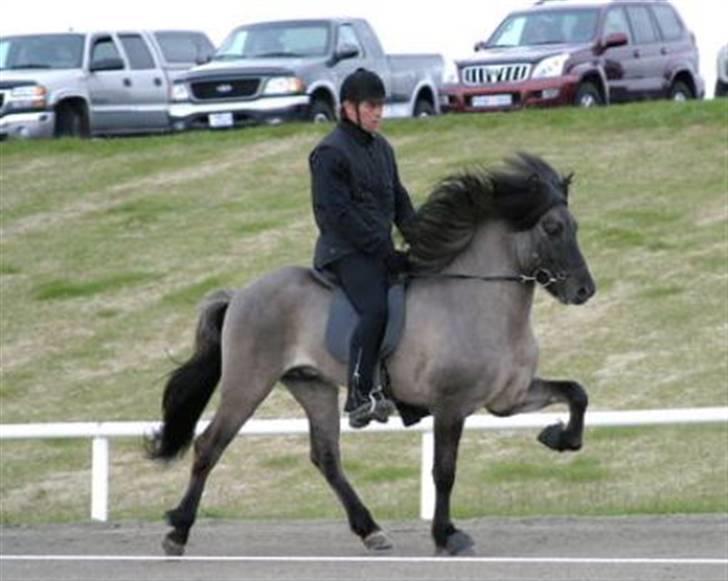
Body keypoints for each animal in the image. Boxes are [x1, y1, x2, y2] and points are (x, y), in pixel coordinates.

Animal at [145, 152, 596, 556]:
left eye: (575, 226)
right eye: (553, 227)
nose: (584, 291)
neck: (477, 300)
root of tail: (240, 294)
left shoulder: (509, 399)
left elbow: (576, 393)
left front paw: (559, 437)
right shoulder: (451, 405)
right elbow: (444, 471)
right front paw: (446, 536)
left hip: (313, 386)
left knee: (326, 457)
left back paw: (370, 530)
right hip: (248, 383)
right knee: (210, 445)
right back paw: (178, 531)